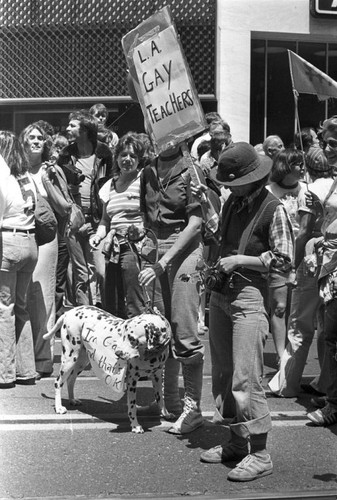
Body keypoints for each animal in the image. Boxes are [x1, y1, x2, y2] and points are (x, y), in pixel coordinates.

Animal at [42, 306, 172, 432]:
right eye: (124, 335)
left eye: (132, 338)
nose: (117, 353)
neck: (152, 354)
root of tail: (68, 312)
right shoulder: (132, 380)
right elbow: (132, 407)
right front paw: (135, 425)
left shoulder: (157, 376)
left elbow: (161, 398)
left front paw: (165, 414)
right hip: (69, 359)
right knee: (58, 382)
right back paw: (59, 407)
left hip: (81, 361)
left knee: (70, 380)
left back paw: (72, 400)